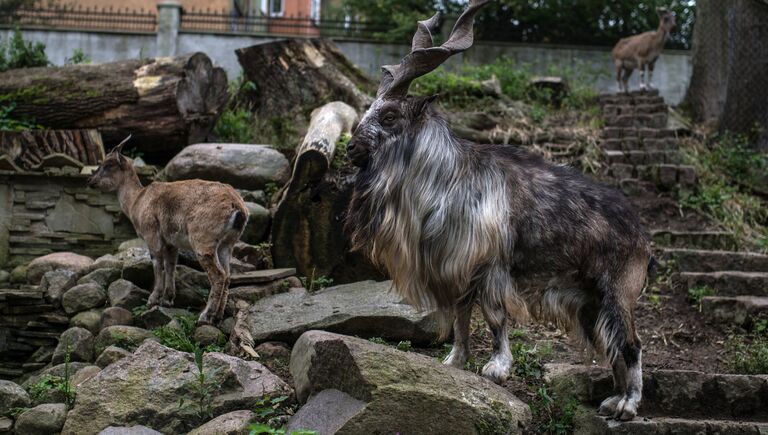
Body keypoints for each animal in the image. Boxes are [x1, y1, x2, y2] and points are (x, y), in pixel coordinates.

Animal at [89, 138, 249, 326]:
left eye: (108, 164)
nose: (90, 181)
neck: (137, 201)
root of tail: (238, 207)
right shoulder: (172, 242)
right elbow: (171, 265)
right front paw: (168, 299)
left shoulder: (151, 234)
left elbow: (157, 263)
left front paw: (153, 300)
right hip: (227, 244)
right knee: (228, 275)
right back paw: (217, 317)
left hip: (203, 239)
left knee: (219, 275)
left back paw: (205, 316)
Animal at [348, 0, 656, 422]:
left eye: (390, 115)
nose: (350, 149)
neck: (449, 178)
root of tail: (642, 236)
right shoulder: (456, 268)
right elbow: (460, 318)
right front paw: (455, 361)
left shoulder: (490, 267)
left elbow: (495, 317)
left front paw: (496, 367)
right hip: (592, 301)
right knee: (612, 345)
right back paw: (613, 399)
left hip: (618, 290)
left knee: (632, 343)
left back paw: (628, 404)